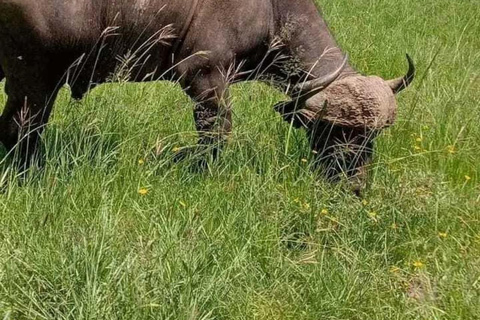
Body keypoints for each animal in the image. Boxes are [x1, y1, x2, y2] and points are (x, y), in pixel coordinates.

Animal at [0, 0, 412, 190]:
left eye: (371, 137)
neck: (272, 10)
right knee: (19, 128)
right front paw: (190, 165)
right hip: (33, 77)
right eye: (334, 131)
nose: (354, 186)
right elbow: (216, 132)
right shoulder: (204, 76)